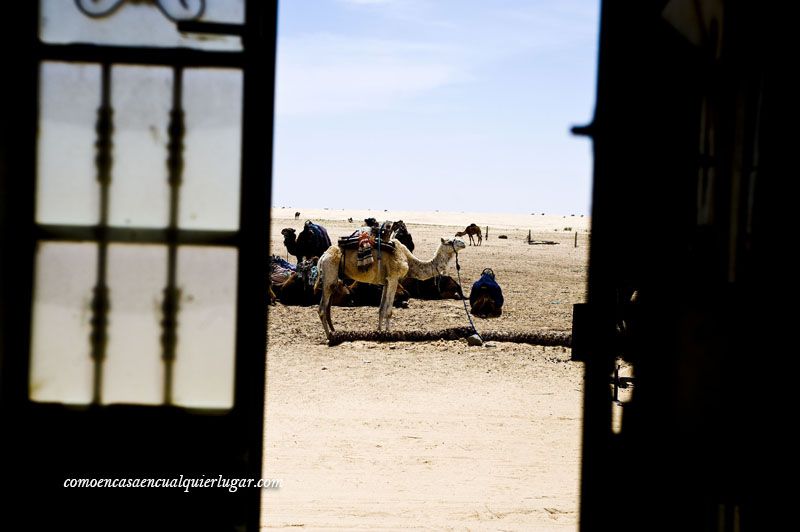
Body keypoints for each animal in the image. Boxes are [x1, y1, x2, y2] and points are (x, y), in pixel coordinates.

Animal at [314, 238, 466, 340]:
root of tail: (322, 257)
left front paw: (380, 332)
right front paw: (389, 334)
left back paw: (333, 332)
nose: (463, 243)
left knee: (326, 308)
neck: (408, 259)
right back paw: (329, 336)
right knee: (321, 309)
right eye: (450, 241)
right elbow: (389, 311)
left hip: (332, 279)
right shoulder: (394, 278)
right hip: (329, 274)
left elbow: (381, 309)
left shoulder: (386, 282)